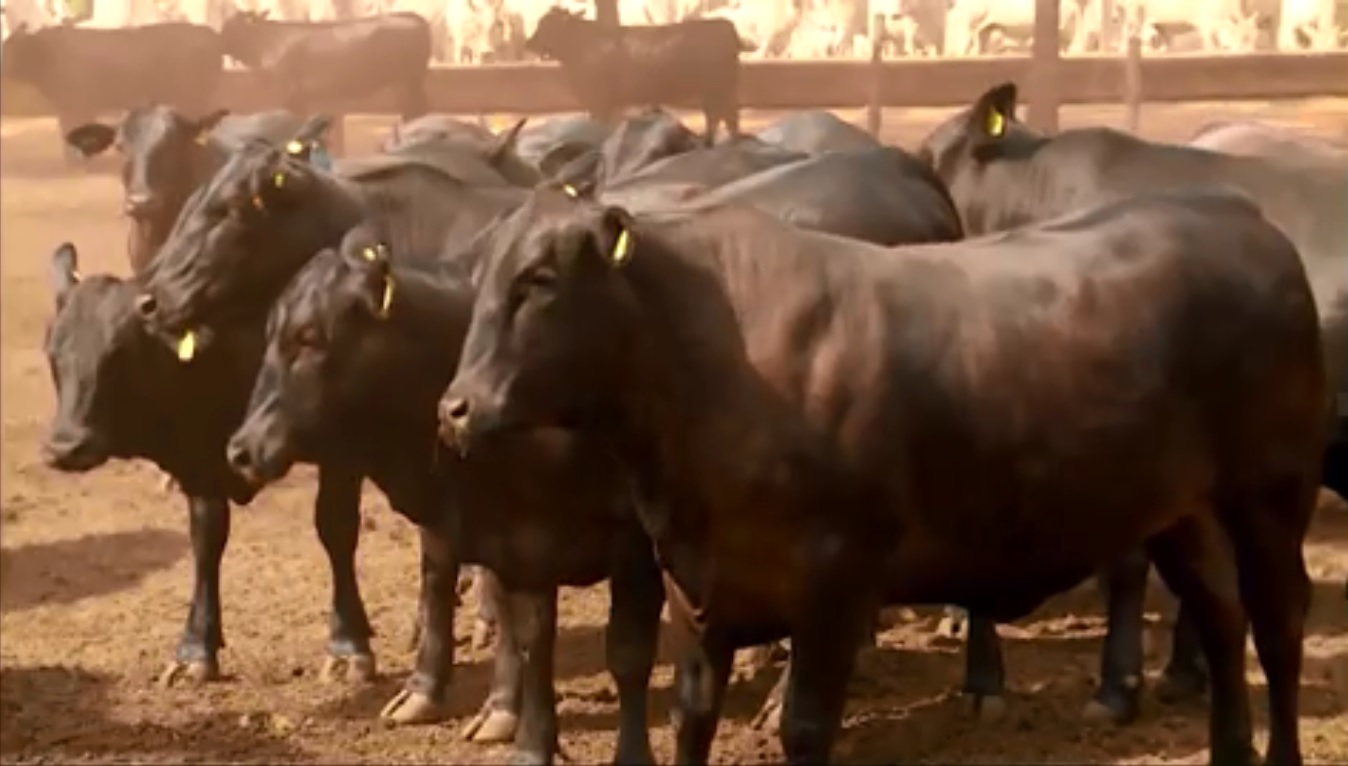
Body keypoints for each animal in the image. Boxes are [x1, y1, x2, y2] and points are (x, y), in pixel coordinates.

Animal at [227, 227, 668, 766]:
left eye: (309, 337)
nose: (241, 451)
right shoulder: (509, 539)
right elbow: (509, 625)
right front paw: (494, 714)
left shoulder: (634, 545)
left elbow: (625, 653)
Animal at [436, 187, 1321, 766]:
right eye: (481, 283)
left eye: (540, 282)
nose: (454, 408)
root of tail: (1249, 222)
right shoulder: (697, 586)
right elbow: (691, 716)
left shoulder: (836, 579)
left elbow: (803, 727)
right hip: (1181, 511)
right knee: (1221, 617)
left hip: (1271, 496)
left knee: (1277, 626)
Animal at [523, 7, 754, 144]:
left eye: (549, 25)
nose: (528, 43)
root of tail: (725, 25)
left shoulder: (598, 102)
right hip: (719, 90)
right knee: (722, 116)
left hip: (717, 88)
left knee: (723, 116)